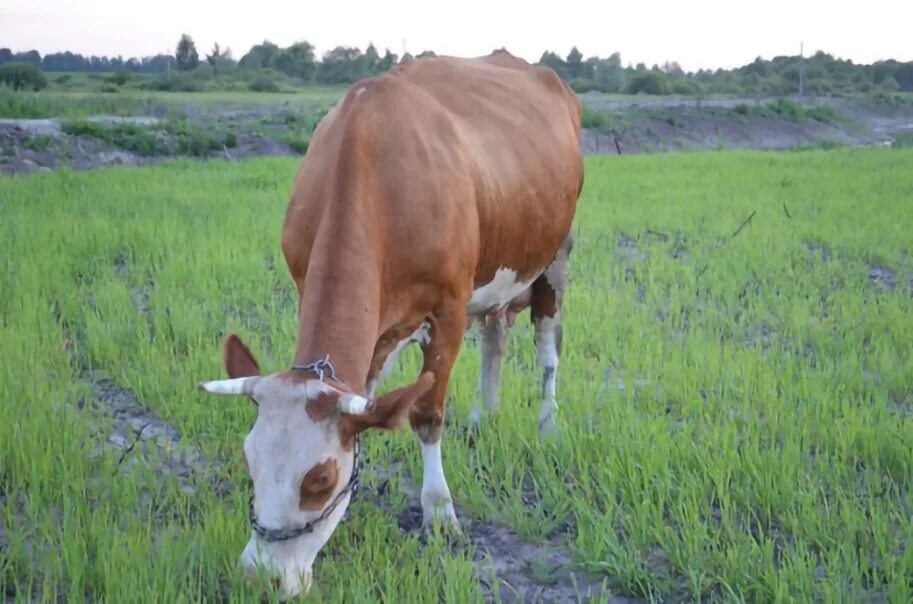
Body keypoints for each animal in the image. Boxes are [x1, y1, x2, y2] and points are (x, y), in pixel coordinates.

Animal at [199, 50, 584, 600]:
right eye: (247, 460)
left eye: (319, 480)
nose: (261, 578)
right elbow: (367, 401)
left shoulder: (447, 309)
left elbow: (425, 412)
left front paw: (439, 511)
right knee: (494, 334)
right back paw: (481, 419)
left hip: (556, 254)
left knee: (547, 347)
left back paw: (548, 426)